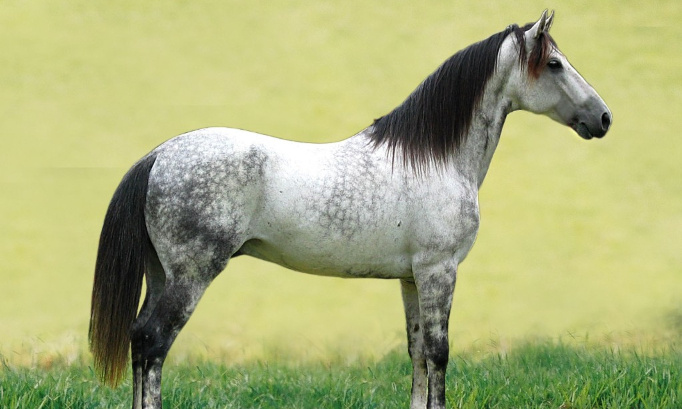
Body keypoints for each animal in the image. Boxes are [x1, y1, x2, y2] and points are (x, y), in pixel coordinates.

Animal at [89, 10, 611, 409]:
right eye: (555, 63)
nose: (604, 118)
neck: (436, 158)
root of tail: (159, 155)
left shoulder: (412, 277)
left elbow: (417, 353)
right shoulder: (439, 271)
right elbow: (439, 352)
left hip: (162, 274)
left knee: (139, 342)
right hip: (192, 276)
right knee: (154, 342)